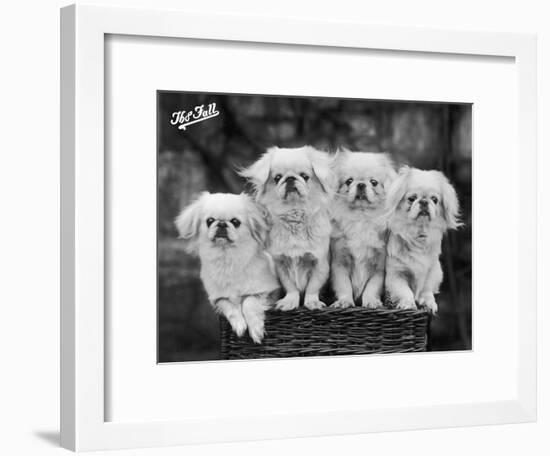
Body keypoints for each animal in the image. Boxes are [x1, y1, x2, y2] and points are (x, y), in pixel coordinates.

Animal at [176, 191, 280, 344]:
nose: (222, 223)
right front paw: (239, 325)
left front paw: (256, 330)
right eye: (210, 221)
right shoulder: (217, 299)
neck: (227, 258)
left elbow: (249, 302)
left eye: (235, 222)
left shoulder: (268, 291)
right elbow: (229, 306)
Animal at [242, 148, 336, 312]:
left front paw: (312, 302)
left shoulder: (320, 264)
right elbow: (290, 286)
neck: (294, 215)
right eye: (277, 178)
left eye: (305, 176)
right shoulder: (281, 263)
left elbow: (313, 286)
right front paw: (289, 302)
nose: (290, 178)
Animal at [332, 150, 396, 310]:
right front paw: (345, 301)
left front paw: (371, 302)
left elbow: (371, 288)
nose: (361, 184)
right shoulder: (339, 264)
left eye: (373, 182)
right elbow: (344, 286)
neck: (361, 217)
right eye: (349, 181)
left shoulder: (379, 268)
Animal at [386, 167, 464, 314]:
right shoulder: (395, 274)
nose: (423, 201)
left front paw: (428, 303)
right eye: (411, 199)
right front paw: (408, 304)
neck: (418, 233)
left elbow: (426, 290)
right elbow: (405, 291)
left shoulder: (432, 270)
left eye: (434, 199)